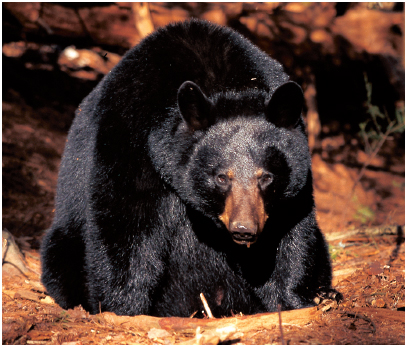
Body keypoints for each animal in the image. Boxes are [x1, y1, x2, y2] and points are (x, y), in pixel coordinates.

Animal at [41, 18, 336, 318]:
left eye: (266, 177)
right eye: (221, 178)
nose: (244, 229)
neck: (223, 84)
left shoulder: (295, 177)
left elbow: (291, 232)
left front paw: (294, 301)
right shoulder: (129, 141)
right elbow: (125, 224)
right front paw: (123, 309)